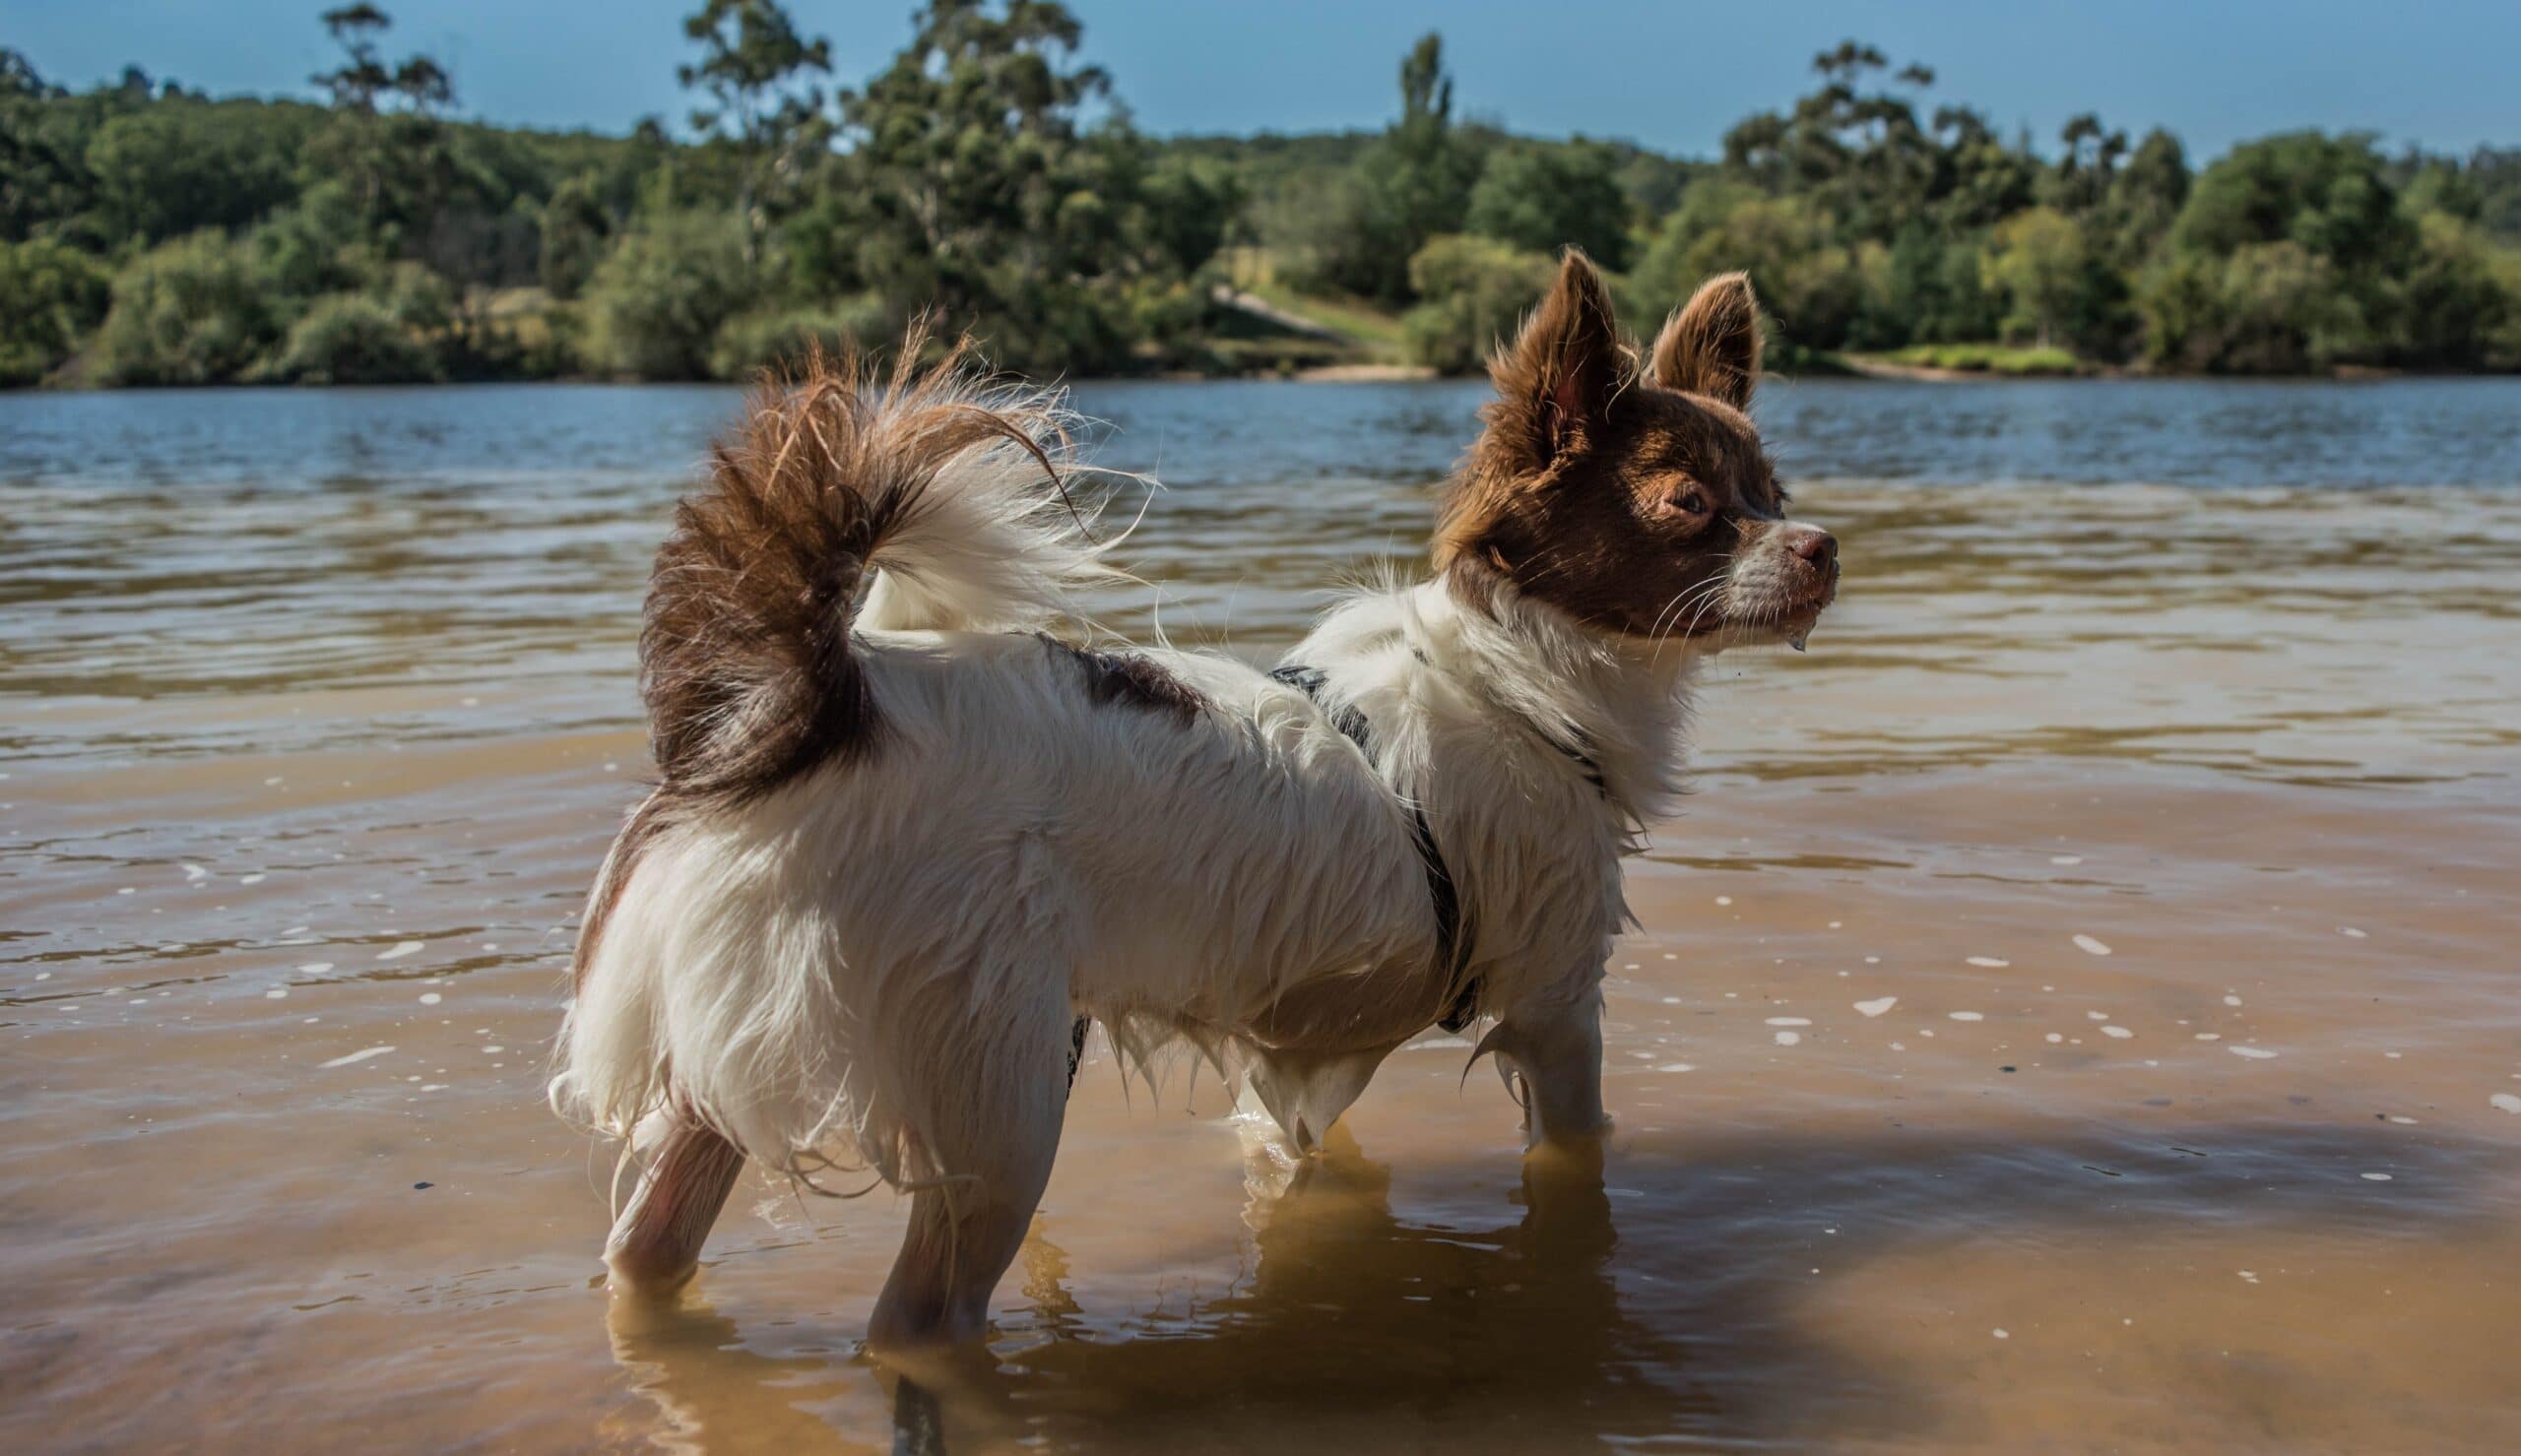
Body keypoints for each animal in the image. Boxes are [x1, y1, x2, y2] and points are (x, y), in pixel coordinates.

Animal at [551, 251, 1844, 1350]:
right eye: (1688, 505)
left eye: (1773, 493)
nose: (1823, 545)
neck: (1517, 675)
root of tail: (828, 706)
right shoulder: (1557, 1005)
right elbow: (1577, 1148)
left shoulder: (1304, 1055)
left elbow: (1292, 1155)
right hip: (1001, 1100)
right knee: (914, 1324)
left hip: (730, 1065)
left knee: (643, 1251)